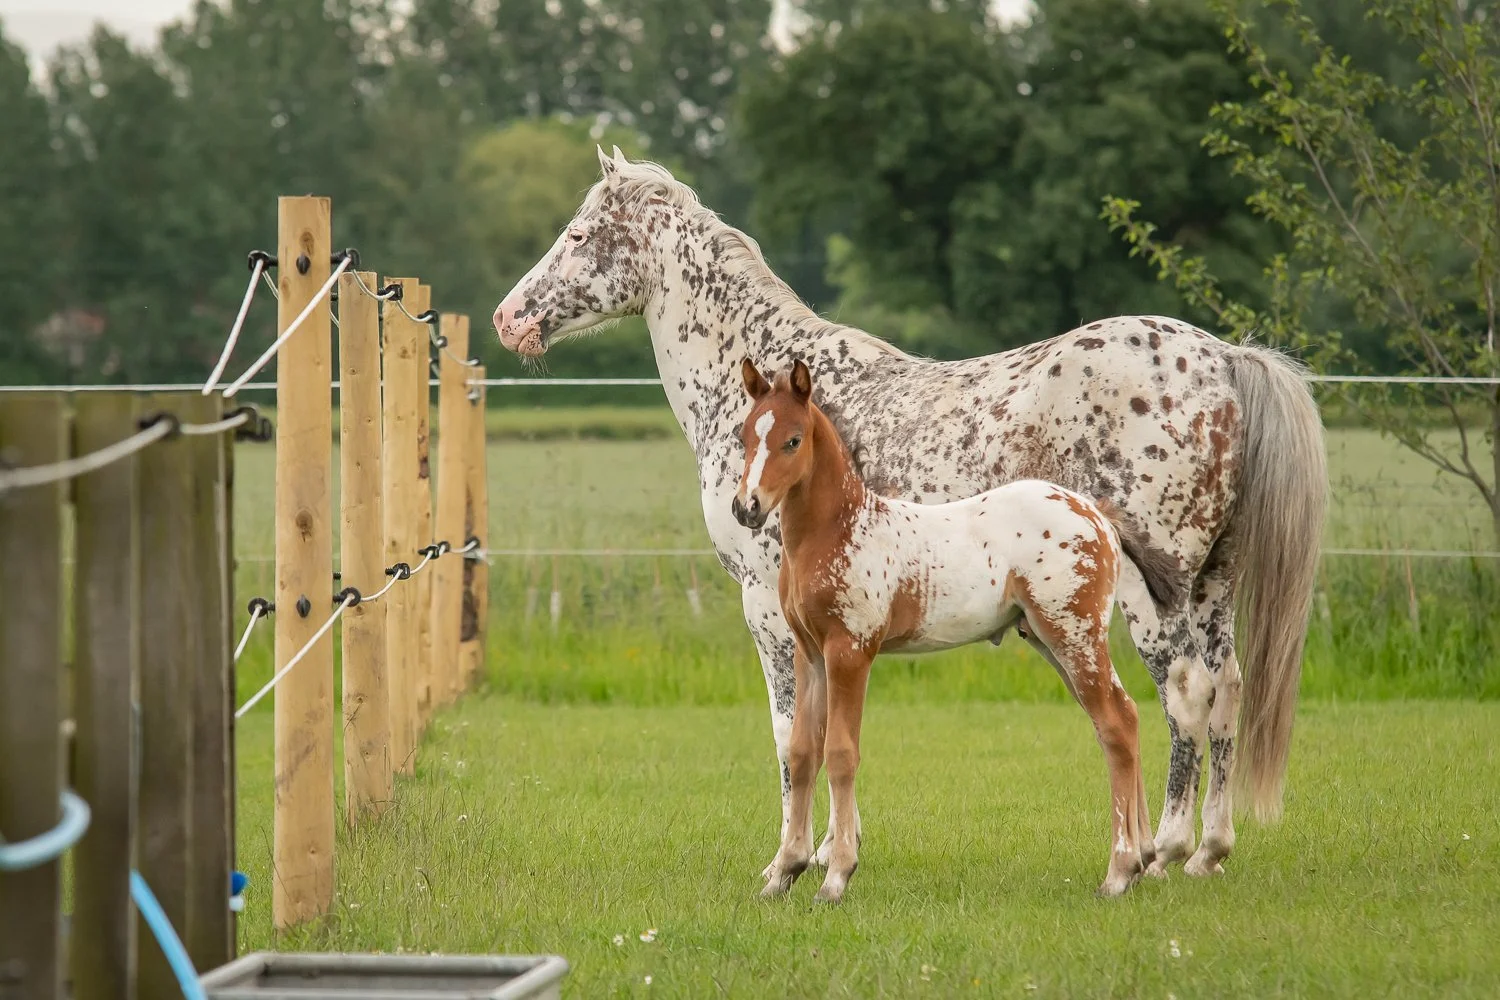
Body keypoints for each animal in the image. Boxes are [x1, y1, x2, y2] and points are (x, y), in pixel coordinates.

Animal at [734, 358, 1163, 903]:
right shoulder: (808, 653)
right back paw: (1144, 856)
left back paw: (1119, 871)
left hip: (1073, 633)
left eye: (792, 440)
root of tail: (1096, 515)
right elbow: (801, 752)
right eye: (746, 436)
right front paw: (785, 871)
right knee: (1124, 714)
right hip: (1053, 641)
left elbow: (841, 752)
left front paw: (836, 876)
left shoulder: (850, 651)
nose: (746, 507)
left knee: (1115, 725)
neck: (837, 531)